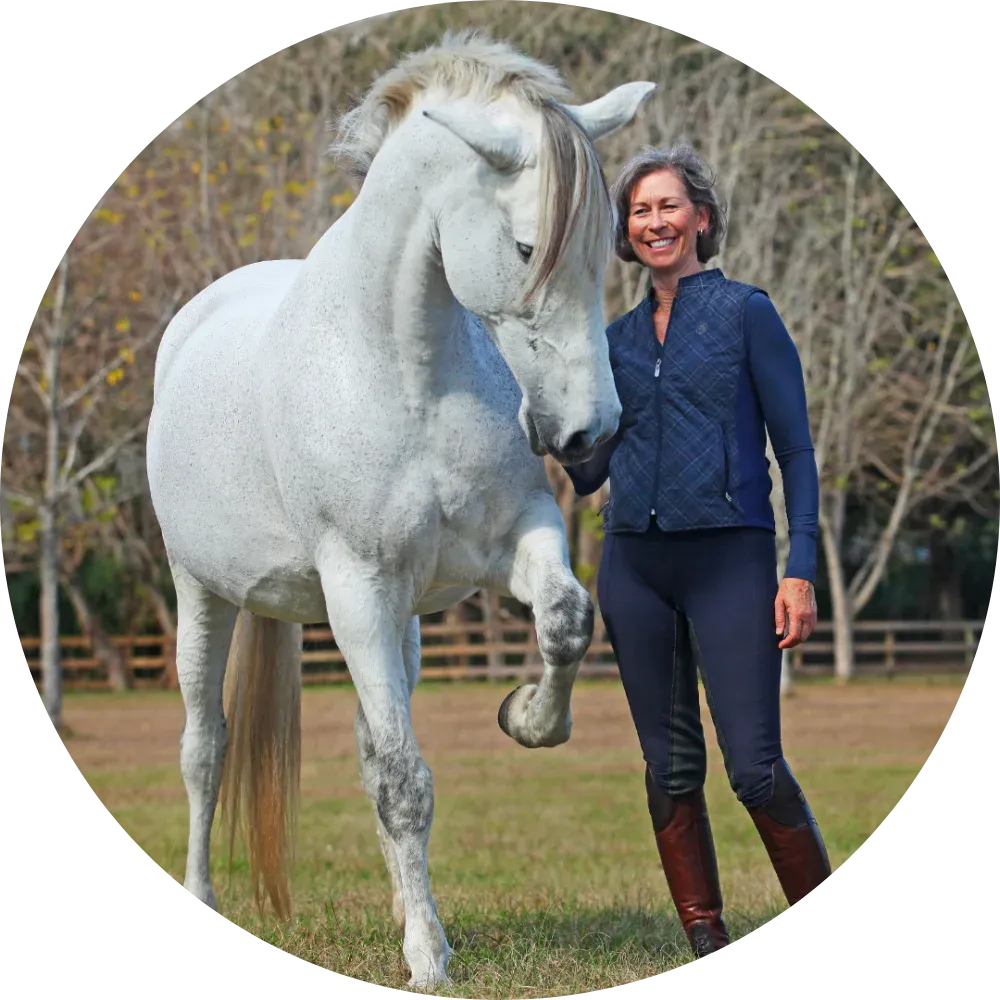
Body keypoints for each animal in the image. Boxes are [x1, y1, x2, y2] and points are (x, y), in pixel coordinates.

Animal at [145, 31, 655, 990]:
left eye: (609, 247)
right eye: (527, 247)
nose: (589, 432)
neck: (406, 371)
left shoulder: (517, 541)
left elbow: (568, 622)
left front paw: (530, 718)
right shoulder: (359, 589)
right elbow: (403, 782)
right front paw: (426, 962)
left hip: (403, 624)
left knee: (361, 742)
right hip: (206, 596)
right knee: (204, 749)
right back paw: (211, 889)